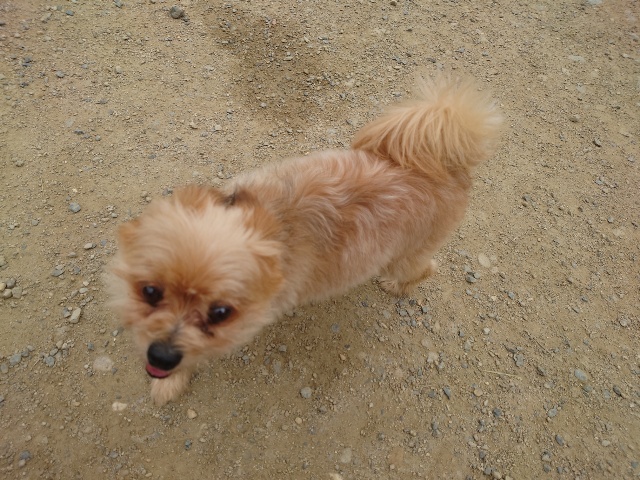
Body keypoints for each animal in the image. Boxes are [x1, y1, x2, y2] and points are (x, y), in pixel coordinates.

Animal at [109, 76, 502, 405]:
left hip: (409, 253)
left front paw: (172, 381)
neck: (268, 222)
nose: (161, 356)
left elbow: (198, 353)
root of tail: (450, 167)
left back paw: (396, 285)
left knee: (424, 269)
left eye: (220, 313)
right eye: (149, 291)